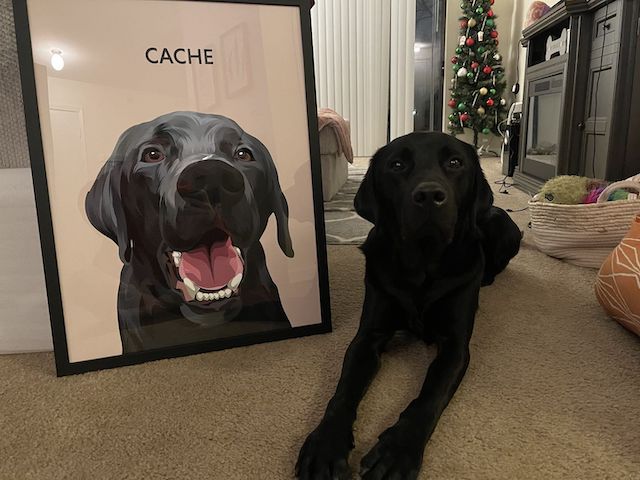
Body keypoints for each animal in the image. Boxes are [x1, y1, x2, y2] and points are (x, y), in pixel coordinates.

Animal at [298, 132, 524, 480]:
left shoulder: (456, 347)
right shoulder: (368, 336)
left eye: (455, 162)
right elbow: (343, 391)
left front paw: (397, 451)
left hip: (501, 223)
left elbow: (429, 397)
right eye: (397, 165)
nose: (430, 195)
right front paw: (326, 445)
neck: (423, 266)